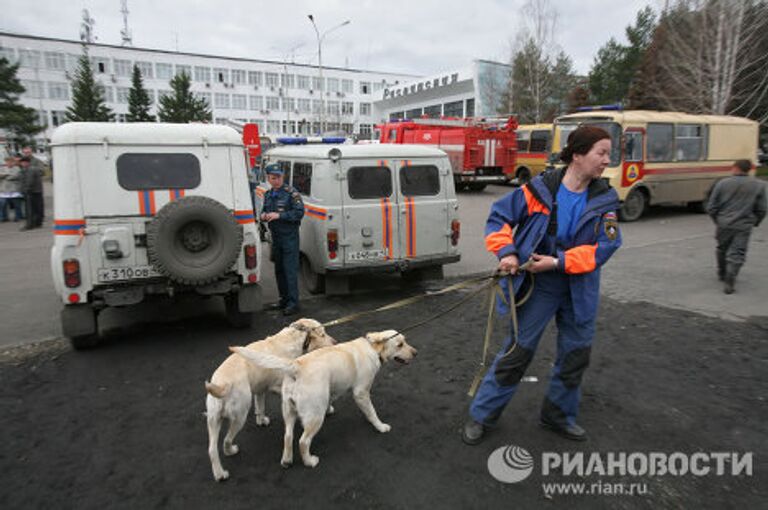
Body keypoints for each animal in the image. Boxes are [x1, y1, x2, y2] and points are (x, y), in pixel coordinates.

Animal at [206, 318, 334, 482]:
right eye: (323, 334)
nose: (335, 342)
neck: (295, 337)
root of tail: (221, 384)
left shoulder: (260, 389)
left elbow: (260, 407)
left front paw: (261, 421)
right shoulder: (280, 386)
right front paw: (329, 408)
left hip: (213, 420)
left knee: (212, 450)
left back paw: (220, 474)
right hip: (239, 416)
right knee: (227, 440)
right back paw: (230, 452)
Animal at [231, 330, 416, 470]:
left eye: (405, 341)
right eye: (400, 344)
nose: (415, 353)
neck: (372, 348)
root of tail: (296, 366)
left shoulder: (330, 390)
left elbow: (330, 400)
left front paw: (330, 410)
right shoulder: (361, 393)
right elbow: (372, 413)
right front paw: (380, 426)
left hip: (289, 411)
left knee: (288, 436)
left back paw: (287, 461)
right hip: (315, 417)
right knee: (303, 441)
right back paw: (309, 461)